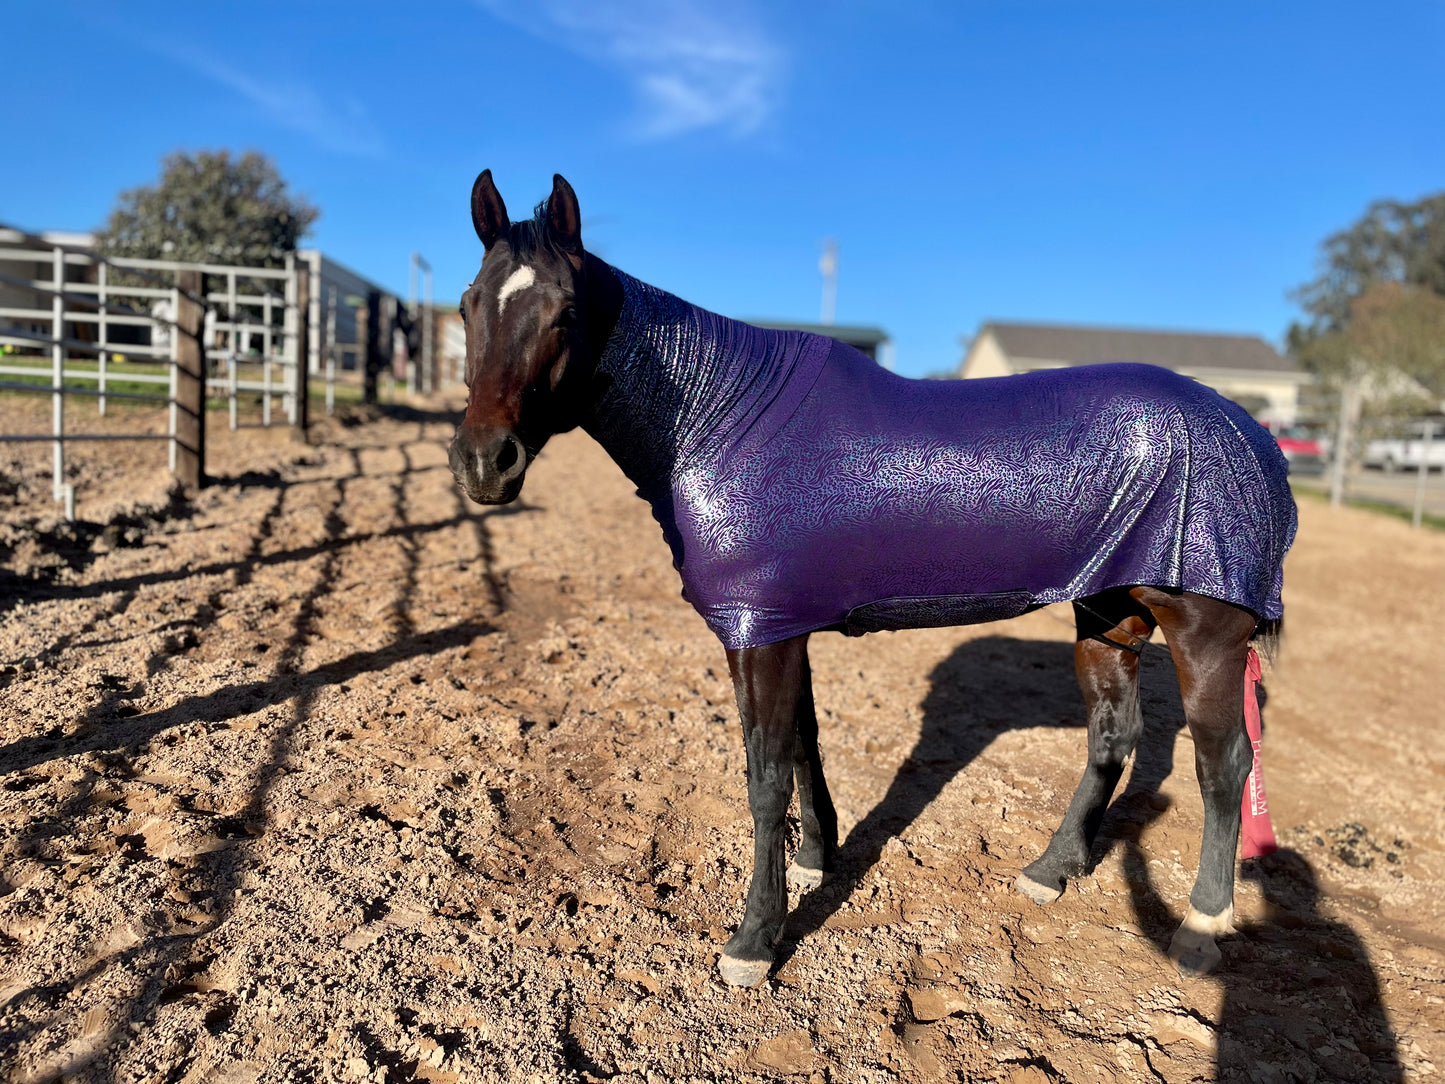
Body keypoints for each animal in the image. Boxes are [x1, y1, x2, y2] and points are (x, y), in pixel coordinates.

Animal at [447, 171, 1300, 994]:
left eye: (564, 313)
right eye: (466, 305)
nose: (486, 461)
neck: (717, 420)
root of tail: (1251, 434)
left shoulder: (758, 633)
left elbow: (764, 777)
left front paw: (753, 940)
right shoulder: (779, 627)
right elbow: (801, 746)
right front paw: (814, 861)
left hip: (1205, 635)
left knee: (1223, 766)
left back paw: (1200, 927)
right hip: (1108, 616)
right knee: (1112, 740)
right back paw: (1049, 871)